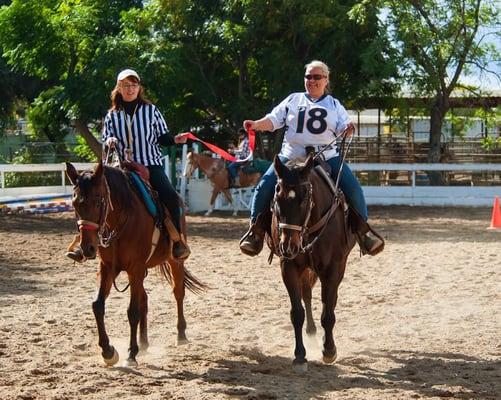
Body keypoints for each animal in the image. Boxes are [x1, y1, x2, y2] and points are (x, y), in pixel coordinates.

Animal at [65, 161, 204, 368]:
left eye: (98, 201)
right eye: (75, 204)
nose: (87, 248)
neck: (121, 219)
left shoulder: (135, 268)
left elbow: (132, 311)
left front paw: (131, 354)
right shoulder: (108, 267)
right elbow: (98, 305)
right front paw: (108, 351)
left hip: (174, 261)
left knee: (178, 292)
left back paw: (181, 335)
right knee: (144, 299)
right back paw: (144, 342)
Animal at [266, 155, 356, 372]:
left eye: (305, 198)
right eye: (277, 197)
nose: (289, 245)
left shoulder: (332, 268)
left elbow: (328, 312)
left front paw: (329, 350)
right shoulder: (288, 267)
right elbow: (297, 312)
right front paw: (300, 356)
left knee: (330, 301)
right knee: (306, 294)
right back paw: (311, 332)